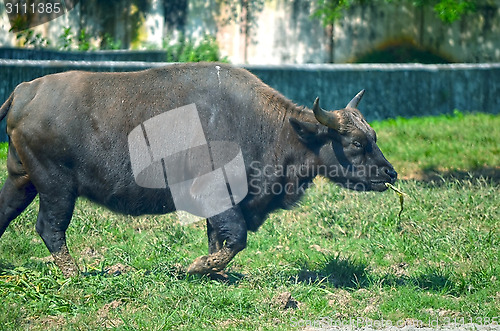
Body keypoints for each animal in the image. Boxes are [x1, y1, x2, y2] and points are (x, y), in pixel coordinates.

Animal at [0, 62, 398, 278]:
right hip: (56, 188)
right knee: (49, 227)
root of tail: (25, 91)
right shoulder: (219, 198)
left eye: (373, 137)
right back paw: (74, 271)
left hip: (22, 180)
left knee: (6, 214)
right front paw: (198, 267)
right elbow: (236, 238)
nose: (390, 174)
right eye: (356, 143)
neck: (276, 128)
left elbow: (218, 237)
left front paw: (215, 272)